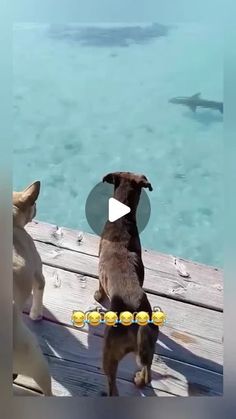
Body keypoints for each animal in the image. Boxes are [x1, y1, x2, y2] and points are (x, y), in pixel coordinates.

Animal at [93, 171, 159, 398]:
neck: (123, 219)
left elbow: (99, 286)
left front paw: (98, 296)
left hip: (109, 354)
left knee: (112, 384)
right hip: (149, 344)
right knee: (147, 371)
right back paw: (138, 380)